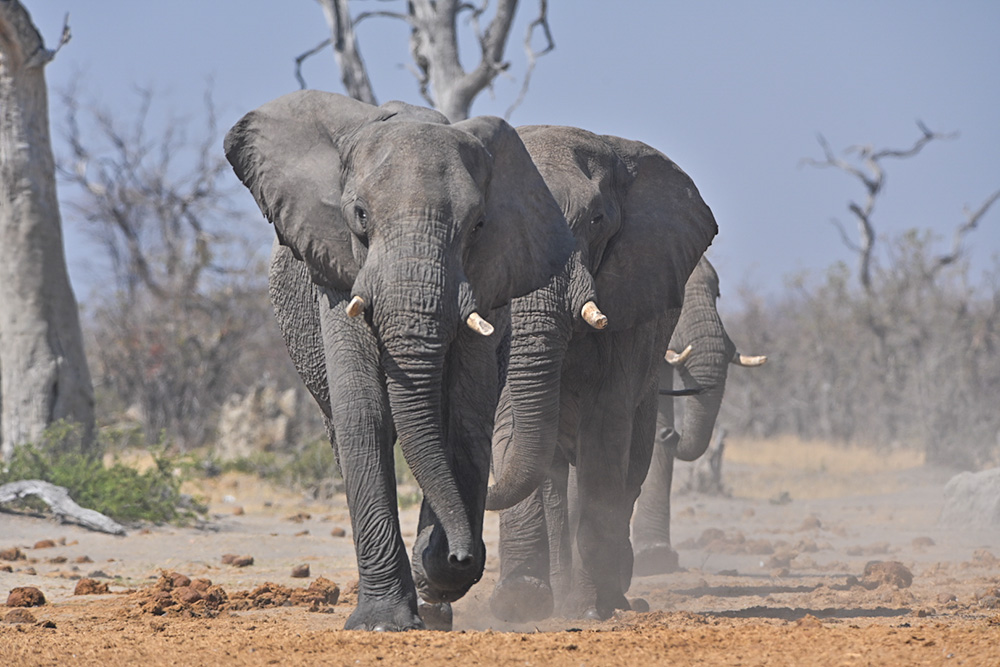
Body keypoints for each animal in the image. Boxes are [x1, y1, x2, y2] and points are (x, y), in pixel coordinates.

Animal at [223, 90, 579, 631]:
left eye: (477, 226)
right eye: (360, 215)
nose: (462, 554)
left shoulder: (483, 288)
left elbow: (462, 418)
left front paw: (437, 578)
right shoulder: (335, 272)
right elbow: (364, 413)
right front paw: (381, 622)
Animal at [487, 125, 718, 622]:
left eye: (595, 220)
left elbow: (606, 432)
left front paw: (587, 609)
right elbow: (508, 422)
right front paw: (519, 602)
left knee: (629, 467)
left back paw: (614, 598)